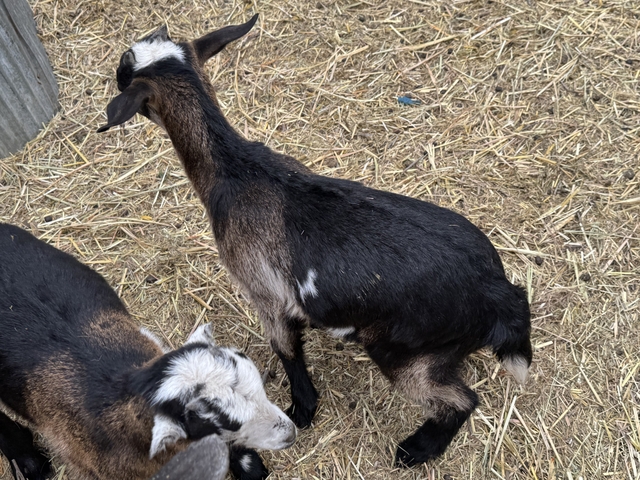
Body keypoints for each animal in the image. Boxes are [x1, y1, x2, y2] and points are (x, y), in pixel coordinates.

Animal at [97, 15, 533, 466]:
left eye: (125, 65)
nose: (113, 73)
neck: (236, 173)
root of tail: (499, 293)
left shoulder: (266, 294)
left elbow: (287, 351)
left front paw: (303, 409)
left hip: (408, 354)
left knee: (461, 399)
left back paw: (416, 449)